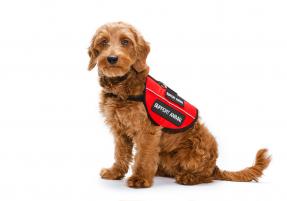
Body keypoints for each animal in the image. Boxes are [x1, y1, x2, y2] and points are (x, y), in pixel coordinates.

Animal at [87, 21, 270, 188]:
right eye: (103, 42)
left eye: (125, 41)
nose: (112, 58)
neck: (122, 86)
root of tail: (215, 167)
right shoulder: (120, 131)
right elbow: (120, 153)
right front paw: (116, 172)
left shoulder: (147, 131)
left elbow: (144, 156)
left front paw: (140, 178)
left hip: (199, 147)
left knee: (207, 176)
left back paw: (189, 177)